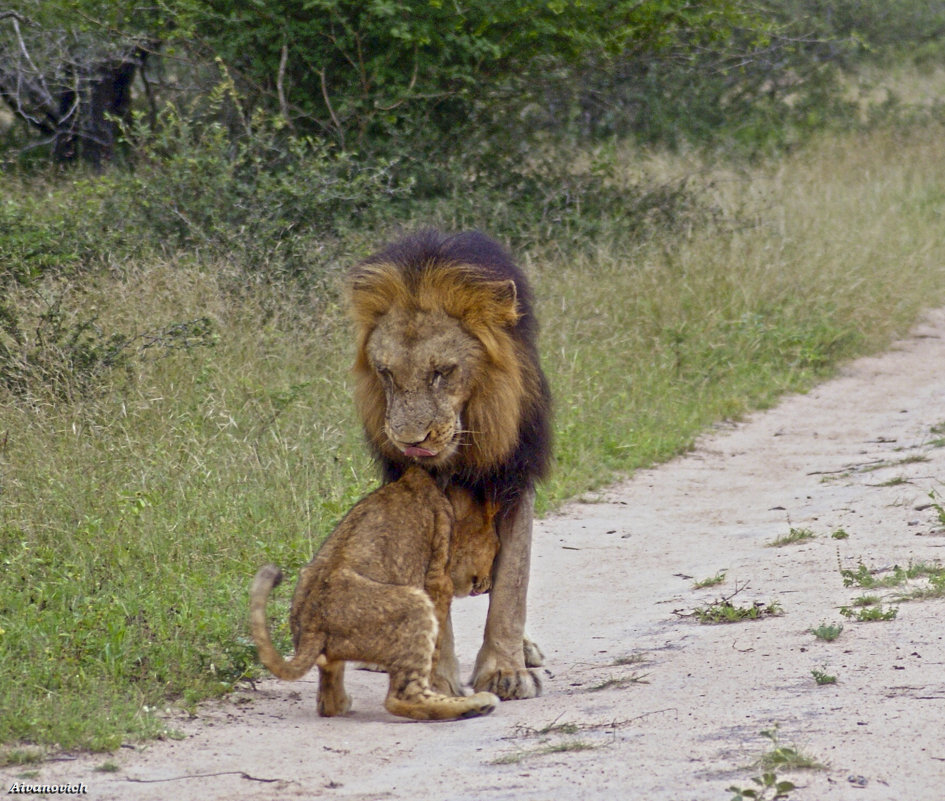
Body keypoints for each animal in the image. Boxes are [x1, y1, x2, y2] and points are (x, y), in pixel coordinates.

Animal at [251, 462, 502, 720]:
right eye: (497, 547)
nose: (488, 585)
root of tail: (312, 624)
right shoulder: (439, 582)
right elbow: (436, 650)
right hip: (415, 603)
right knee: (401, 698)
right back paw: (476, 704)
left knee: (327, 702)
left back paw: (342, 703)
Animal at [346, 228, 552, 696]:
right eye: (385, 373)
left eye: (442, 372)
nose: (411, 443)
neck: (463, 456)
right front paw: (435, 686)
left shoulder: (514, 481)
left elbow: (512, 588)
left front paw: (506, 672)